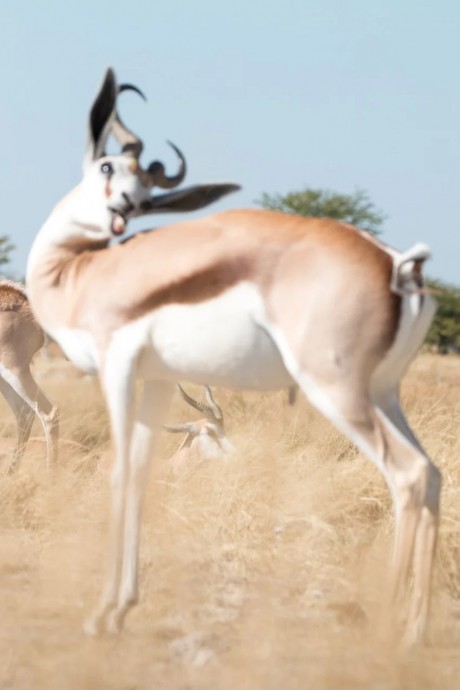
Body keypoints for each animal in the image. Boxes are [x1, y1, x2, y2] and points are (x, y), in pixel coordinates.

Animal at [26, 67, 442, 644]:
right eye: (108, 166)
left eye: (142, 181)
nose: (123, 208)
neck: (76, 274)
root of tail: (397, 265)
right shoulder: (157, 378)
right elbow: (140, 472)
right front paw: (121, 608)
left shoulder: (117, 367)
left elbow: (119, 473)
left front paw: (99, 613)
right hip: (384, 392)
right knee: (433, 474)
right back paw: (415, 631)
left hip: (337, 392)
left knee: (407, 475)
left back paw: (383, 626)